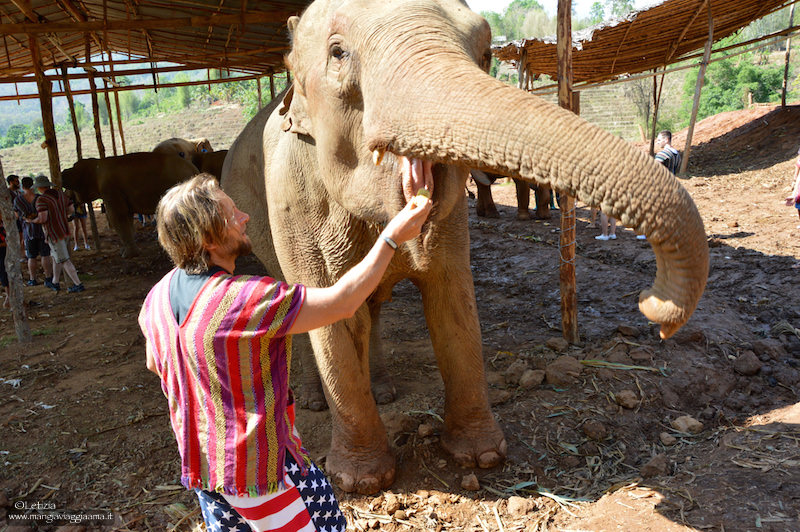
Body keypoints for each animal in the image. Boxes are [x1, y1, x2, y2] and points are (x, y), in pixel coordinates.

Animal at [62, 152, 198, 258]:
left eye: (73, 166)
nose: (62, 171)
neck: (96, 164)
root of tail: (194, 169)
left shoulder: (109, 189)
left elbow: (117, 215)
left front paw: (127, 255)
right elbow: (127, 216)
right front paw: (125, 252)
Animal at [219, 0, 708, 494]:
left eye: (487, 50)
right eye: (338, 53)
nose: (653, 305)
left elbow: (451, 294)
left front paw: (481, 456)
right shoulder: (292, 200)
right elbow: (328, 310)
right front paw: (361, 481)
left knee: (370, 307)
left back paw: (384, 390)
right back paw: (315, 401)